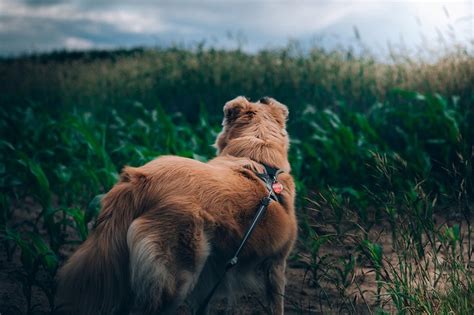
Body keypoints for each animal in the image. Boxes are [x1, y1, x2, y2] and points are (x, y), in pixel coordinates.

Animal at [57, 97, 298, 315]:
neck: (260, 158)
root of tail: (141, 179)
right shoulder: (276, 264)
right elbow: (277, 305)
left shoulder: (210, 278)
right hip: (178, 275)